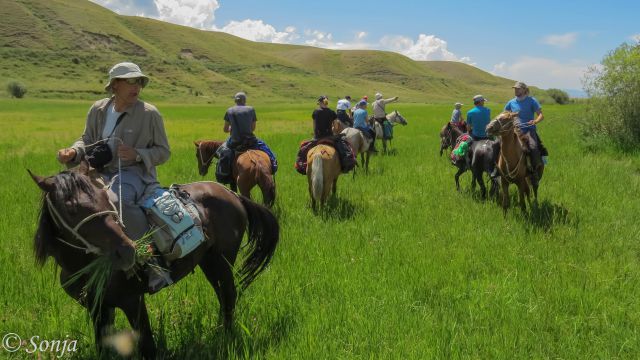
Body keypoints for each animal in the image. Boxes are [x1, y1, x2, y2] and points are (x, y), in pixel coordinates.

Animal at [29, 162, 280, 358]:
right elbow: (103, 346)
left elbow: (147, 346)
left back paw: (224, 337)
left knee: (228, 297)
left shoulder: (133, 301)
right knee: (223, 296)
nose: (126, 251)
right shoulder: (98, 308)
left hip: (221, 261)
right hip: (208, 262)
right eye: (71, 209)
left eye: (104, 198)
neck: (85, 265)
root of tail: (232, 194)